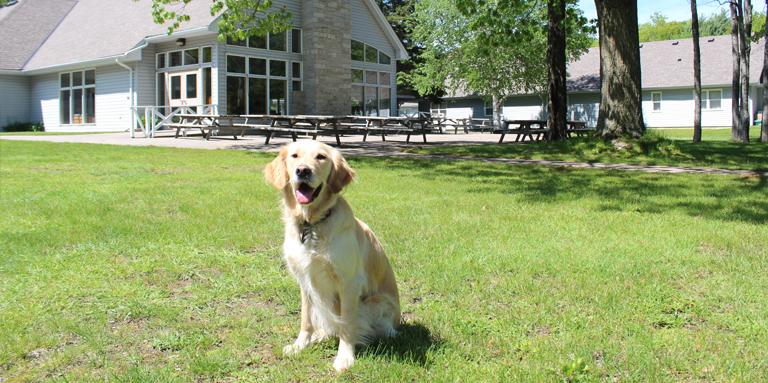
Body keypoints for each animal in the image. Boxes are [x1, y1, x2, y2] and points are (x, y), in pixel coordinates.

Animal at [262, 141, 400, 372]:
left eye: (321, 157)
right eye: (294, 156)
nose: (303, 171)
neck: (311, 224)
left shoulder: (349, 282)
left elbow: (347, 324)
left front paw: (345, 357)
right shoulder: (305, 281)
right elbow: (305, 320)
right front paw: (300, 345)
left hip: (375, 303)